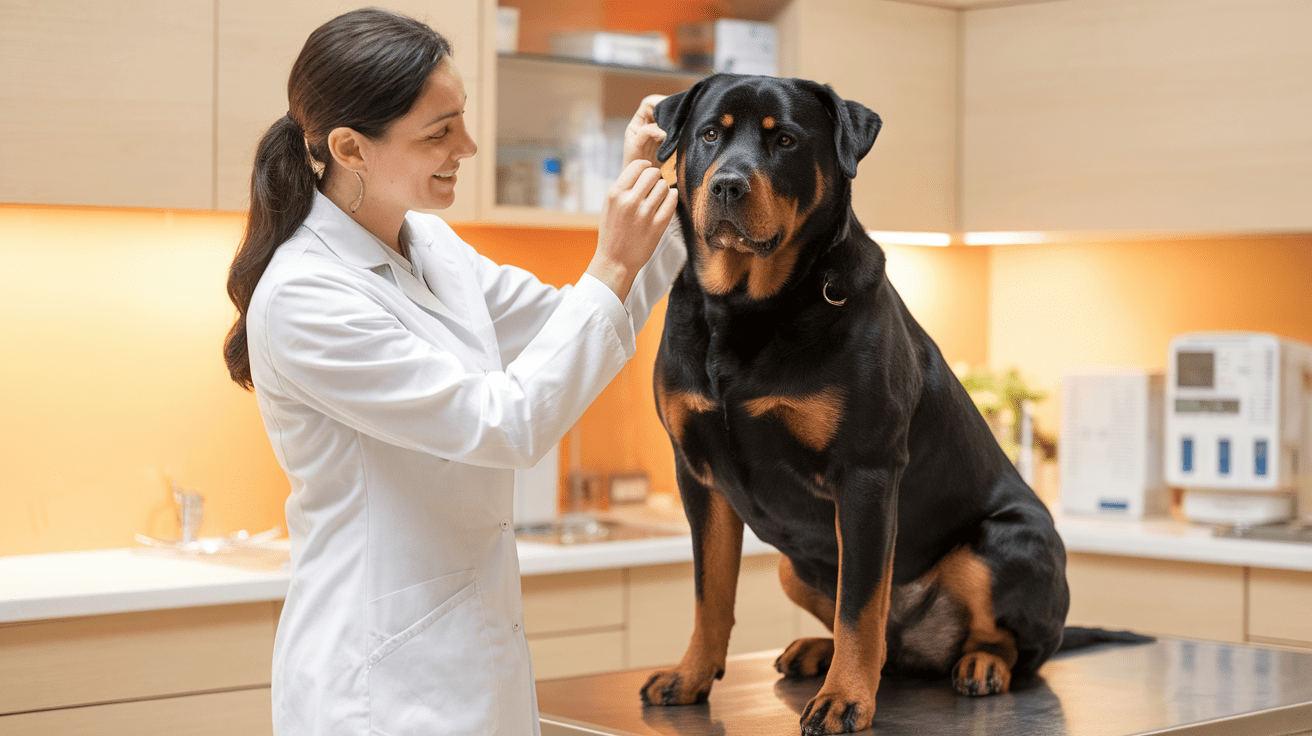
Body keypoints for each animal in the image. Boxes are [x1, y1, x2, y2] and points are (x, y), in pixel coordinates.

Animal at [640, 76, 1070, 734]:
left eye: (785, 141)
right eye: (710, 133)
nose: (728, 184)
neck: (747, 309)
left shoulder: (865, 474)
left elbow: (860, 606)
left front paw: (844, 699)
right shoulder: (698, 476)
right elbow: (709, 591)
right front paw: (690, 676)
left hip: (1004, 543)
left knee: (1013, 645)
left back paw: (980, 664)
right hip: (794, 566)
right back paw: (816, 651)